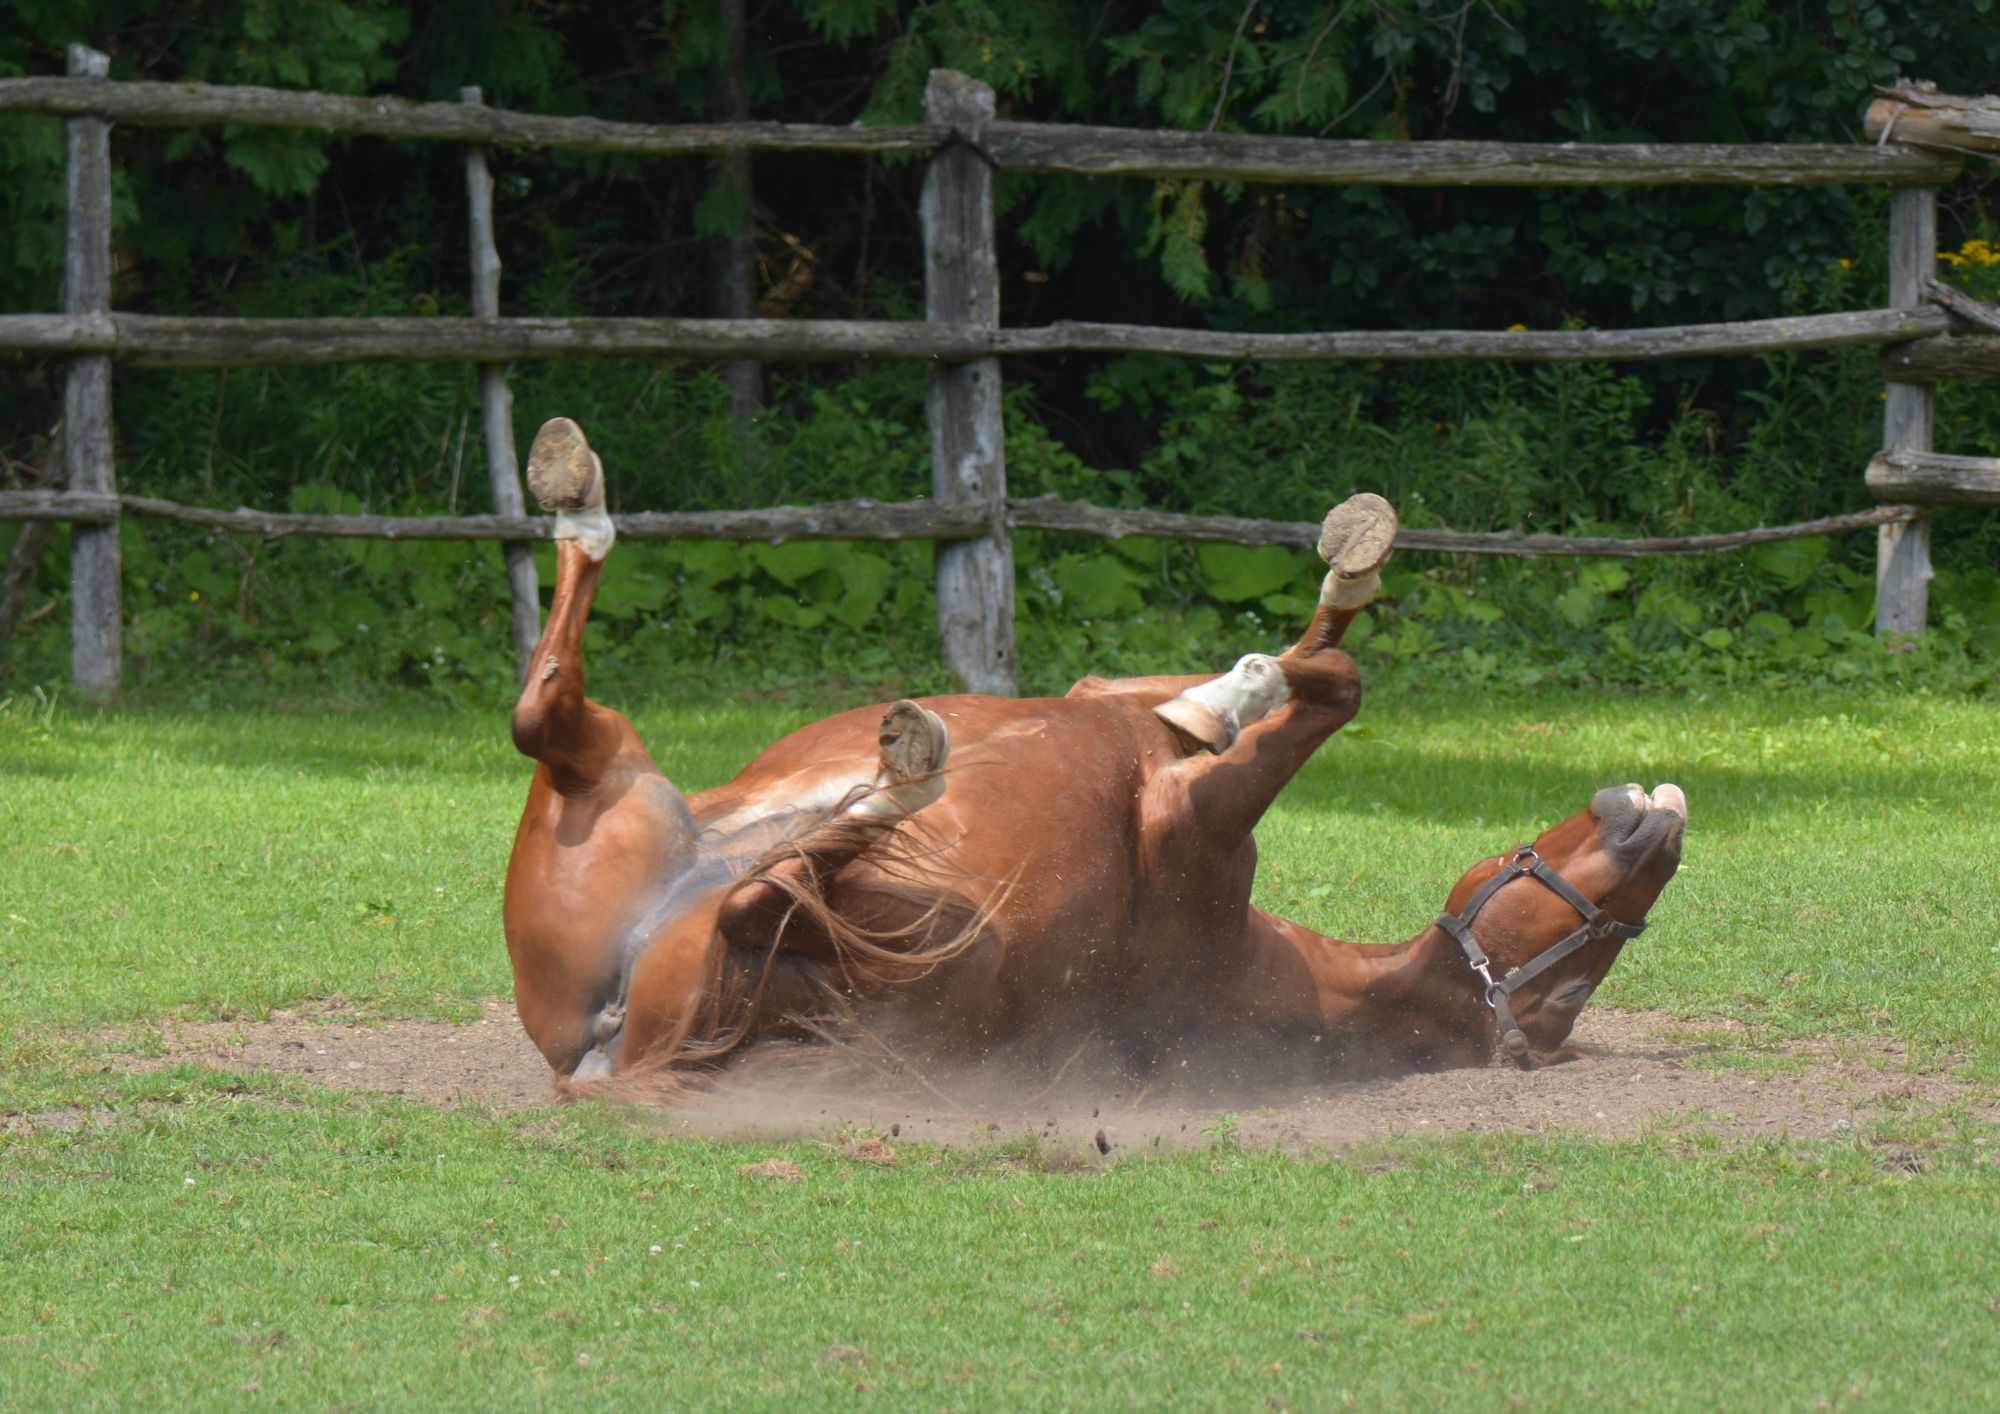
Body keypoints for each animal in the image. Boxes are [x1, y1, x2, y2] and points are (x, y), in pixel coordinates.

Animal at [502, 417, 1686, 1095]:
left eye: (1569, 994)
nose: (1662, 820)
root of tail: (601, 1045)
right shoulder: (1131, 736)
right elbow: (1292, 673)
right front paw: (1314, 601)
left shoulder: (1193, 827)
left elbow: (1322, 690)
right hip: (624, 786)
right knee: (547, 713)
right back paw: (575, 491)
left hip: (932, 939)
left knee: (748, 883)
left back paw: (906, 774)